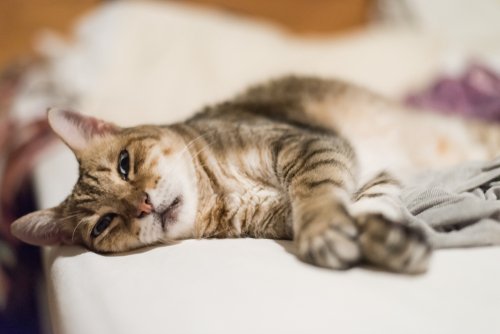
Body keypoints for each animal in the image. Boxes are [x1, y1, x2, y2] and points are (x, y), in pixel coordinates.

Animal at [8, 76, 500, 274]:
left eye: (125, 163)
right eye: (103, 224)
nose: (143, 205)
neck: (220, 192)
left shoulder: (308, 146)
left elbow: (319, 195)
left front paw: (327, 230)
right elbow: (368, 205)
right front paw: (385, 240)